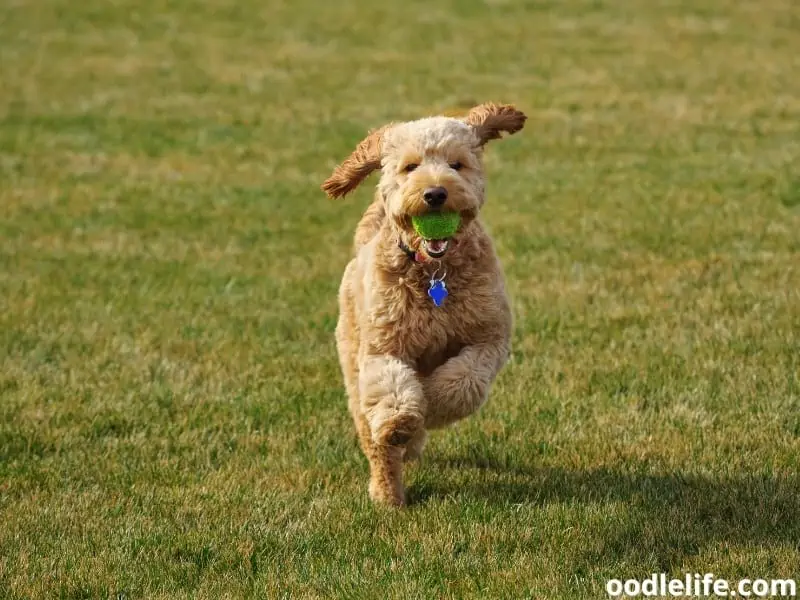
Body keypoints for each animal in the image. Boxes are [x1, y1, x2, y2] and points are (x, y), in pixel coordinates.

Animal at [320, 103, 524, 506]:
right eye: (410, 166)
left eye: (456, 164)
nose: (435, 194)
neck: (433, 271)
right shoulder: (383, 348)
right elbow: (393, 388)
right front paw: (403, 422)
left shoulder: (489, 338)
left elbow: (462, 383)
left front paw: (431, 402)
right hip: (353, 362)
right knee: (376, 443)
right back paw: (388, 493)